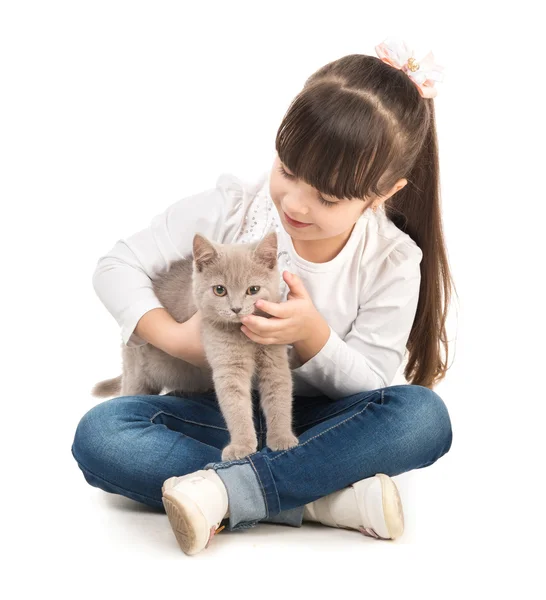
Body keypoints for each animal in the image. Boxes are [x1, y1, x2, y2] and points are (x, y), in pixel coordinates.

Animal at [92, 230, 298, 460]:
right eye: (220, 290)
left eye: (253, 290)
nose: (236, 308)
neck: (243, 335)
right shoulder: (228, 365)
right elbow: (236, 405)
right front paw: (242, 446)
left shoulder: (274, 356)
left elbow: (279, 397)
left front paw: (282, 439)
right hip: (136, 372)